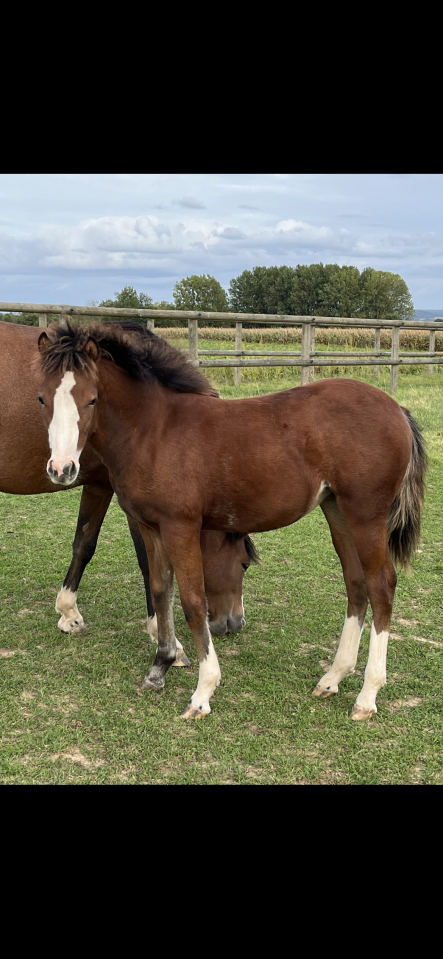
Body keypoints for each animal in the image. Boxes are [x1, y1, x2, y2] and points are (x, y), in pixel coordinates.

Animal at [0, 321, 257, 665]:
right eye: (243, 564)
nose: (234, 622)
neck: (150, 415)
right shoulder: (141, 507)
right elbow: (150, 563)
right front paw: (166, 639)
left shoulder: (99, 484)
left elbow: (84, 543)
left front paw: (68, 613)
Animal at [36, 321, 427, 722]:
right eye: (42, 399)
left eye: (92, 399)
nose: (62, 469)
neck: (154, 430)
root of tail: (397, 409)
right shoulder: (150, 526)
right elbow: (161, 590)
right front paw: (160, 666)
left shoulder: (180, 526)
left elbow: (192, 601)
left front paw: (203, 692)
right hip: (337, 510)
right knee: (356, 583)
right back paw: (332, 678)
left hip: (366, 514)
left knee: (381, 586)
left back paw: (367, 695)